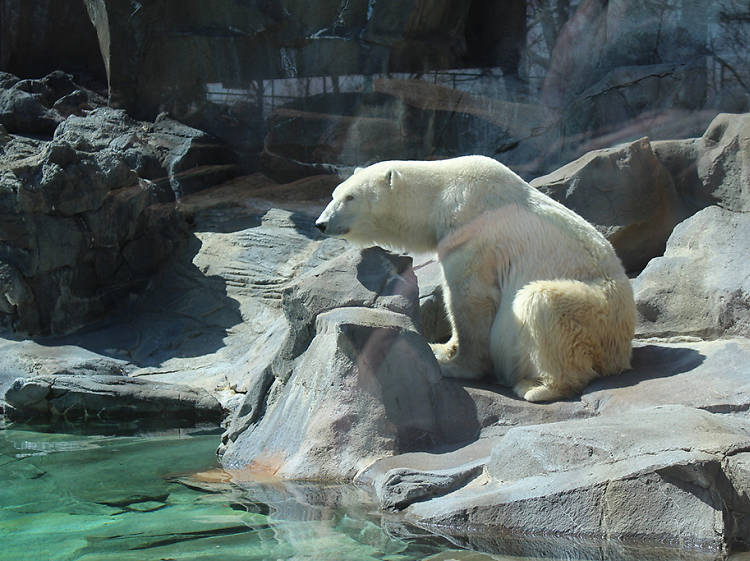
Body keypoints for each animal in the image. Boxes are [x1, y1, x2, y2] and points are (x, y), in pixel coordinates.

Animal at [314, 155, 636, 400]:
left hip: (598, 313)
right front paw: (442, 348)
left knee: (541, 302)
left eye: (350, 197)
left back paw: (537, 386)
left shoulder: (471, 233)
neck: (439, 195)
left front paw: (455, 366)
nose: (321, 223)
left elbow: (469, 299)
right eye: (334, 194)